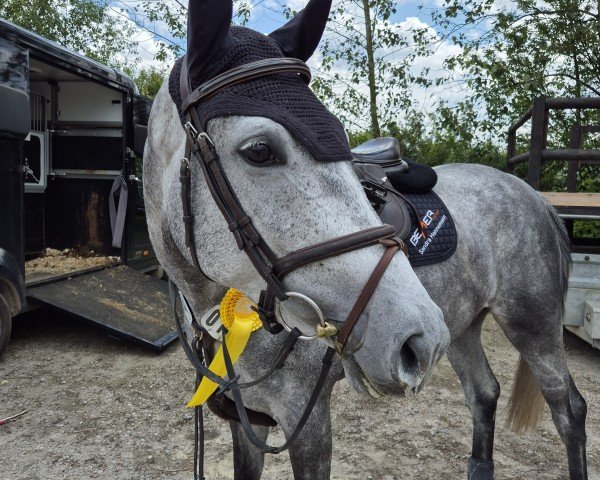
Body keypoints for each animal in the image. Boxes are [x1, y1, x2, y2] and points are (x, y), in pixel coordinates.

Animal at [145, 1, 584, 478]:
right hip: (463, 328)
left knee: (569, 409)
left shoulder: (307, 421)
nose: (419, 336)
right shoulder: (249, 421)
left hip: (533, 326)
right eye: (259, 150)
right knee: (484, 393)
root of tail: (533, 195)